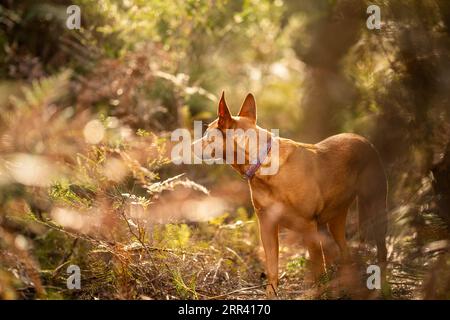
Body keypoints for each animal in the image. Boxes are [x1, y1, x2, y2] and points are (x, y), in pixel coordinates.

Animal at [193, 92, 386, 298]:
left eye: (207, 136)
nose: (190, 145)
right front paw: (271, 294)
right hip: (335, 219)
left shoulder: (309, 226)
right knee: (345, 251)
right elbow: (272, 267)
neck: (262, 164)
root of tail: (363, 139)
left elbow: (317, 269)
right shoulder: (267, 226)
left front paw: (315, 293)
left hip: (376, 207)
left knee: (381, 249)